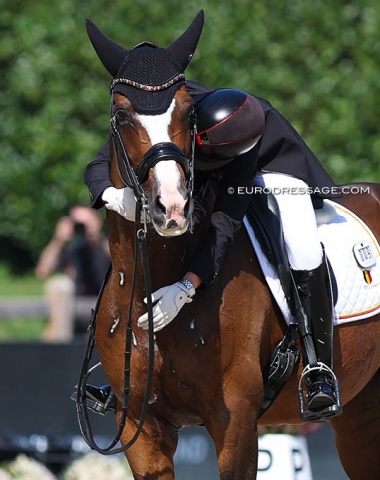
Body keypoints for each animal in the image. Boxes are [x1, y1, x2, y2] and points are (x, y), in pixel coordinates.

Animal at [84, 11, 380, 480]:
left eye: (189, 114)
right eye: (122, 114)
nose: (172, 208)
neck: (153, 278)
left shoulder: (234, 419)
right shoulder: (141, 430)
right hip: (361, 412)